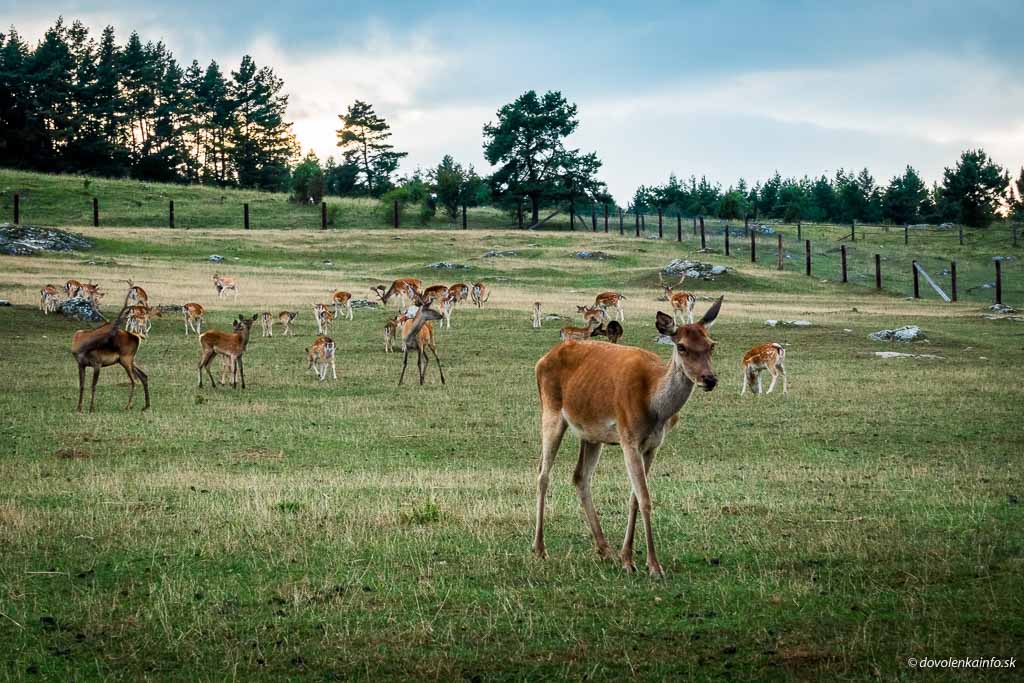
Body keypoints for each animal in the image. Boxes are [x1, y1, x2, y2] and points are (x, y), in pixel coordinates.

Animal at [532, 296, 724, 573]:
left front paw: (627, 557)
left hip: (591, 433)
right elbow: (645, 498)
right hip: (551, 411)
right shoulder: (628, 437)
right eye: (682, 346)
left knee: (580, 477)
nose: (709, 379)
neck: (656, 408)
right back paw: (539, 548)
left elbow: (635, 497)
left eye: (711, 345)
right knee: (542, 474)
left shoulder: (653, 444)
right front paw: (653, 565)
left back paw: (604, 549)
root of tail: (541, 360)